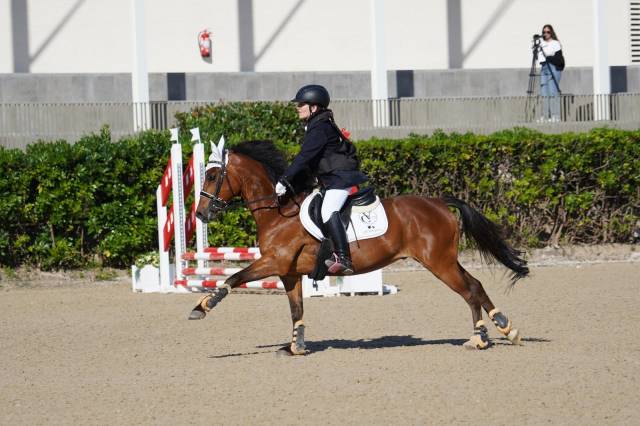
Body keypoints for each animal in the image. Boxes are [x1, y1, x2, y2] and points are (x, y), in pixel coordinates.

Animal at [189, 139, 529, 354]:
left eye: (213, 175)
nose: (201, 214)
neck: (277, 212)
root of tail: (440, 203)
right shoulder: (288, 273)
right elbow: (296, 309)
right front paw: (297, 346)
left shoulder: (273, 262)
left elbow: (233, 277)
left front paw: (202, 307)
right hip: (444, 260)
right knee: (475, 285)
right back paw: (501, 329)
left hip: (439, 263)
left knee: (469, 290)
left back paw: (485, 336)